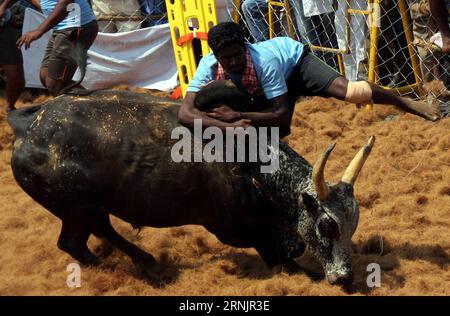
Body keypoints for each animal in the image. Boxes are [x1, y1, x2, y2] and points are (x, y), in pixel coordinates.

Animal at [7, 89, 374, 286]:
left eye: (353, 225)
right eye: (327, 226)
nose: (345, 277)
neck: (246, 160)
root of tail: (31, 124)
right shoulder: (236, 228)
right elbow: (280, 255)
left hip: (90, 208)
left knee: (103, 230)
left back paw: (147, 261)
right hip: (75, 210)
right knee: (72, 243)